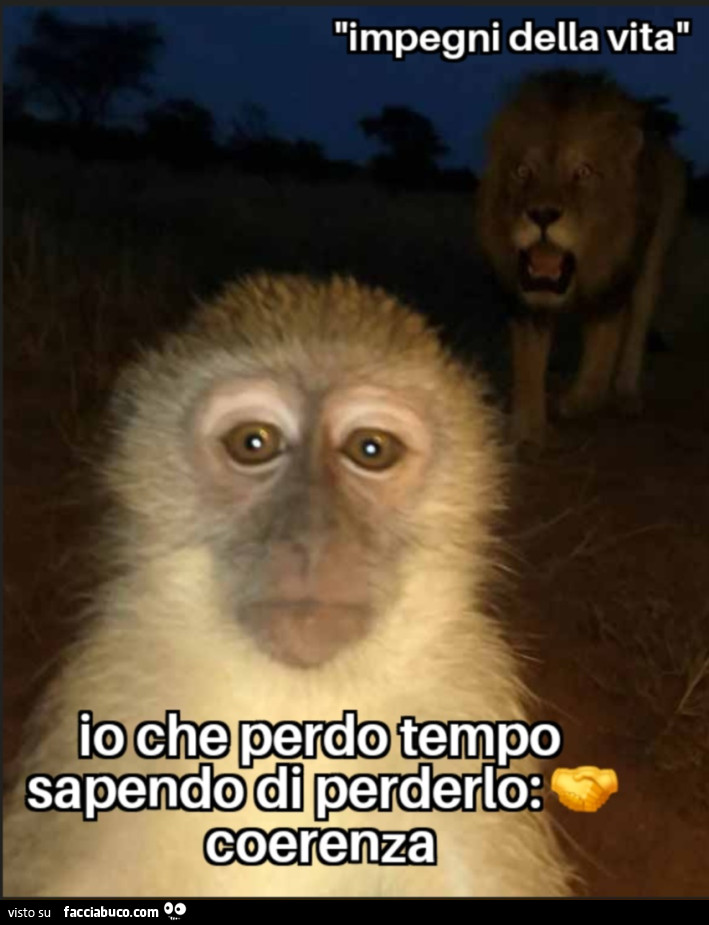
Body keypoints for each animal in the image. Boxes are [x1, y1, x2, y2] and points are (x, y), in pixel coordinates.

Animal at [476, 70, 686, 450]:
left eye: (583, 172)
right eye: (522, 171)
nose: (542, 214)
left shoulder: (613, 285)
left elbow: (602, 356)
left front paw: (575, 402)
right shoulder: (525, 299)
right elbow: (528, 364)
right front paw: (527, 430)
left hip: (653, 261)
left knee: (636, 325)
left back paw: (626, 394)